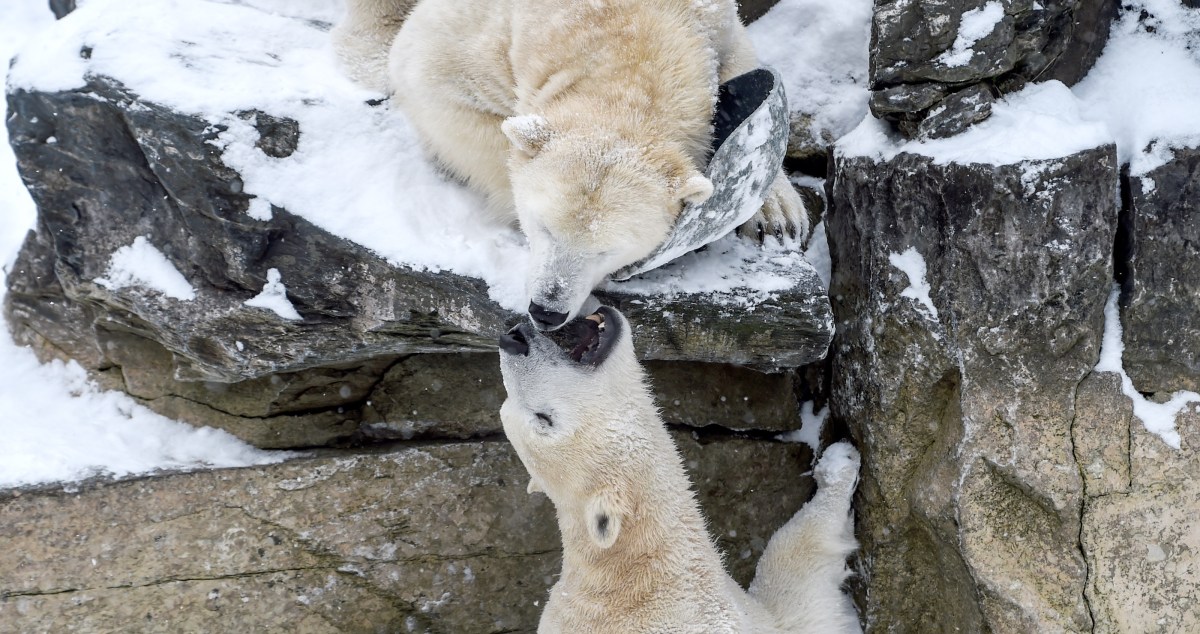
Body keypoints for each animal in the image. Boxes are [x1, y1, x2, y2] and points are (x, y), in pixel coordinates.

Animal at [333, 0, 809, 330]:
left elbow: (743, 62)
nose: (546, 311)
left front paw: (777, 215)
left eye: (608, 249)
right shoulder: (476, 33)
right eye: (541, 226)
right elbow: (431, 76)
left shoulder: (713, 22)